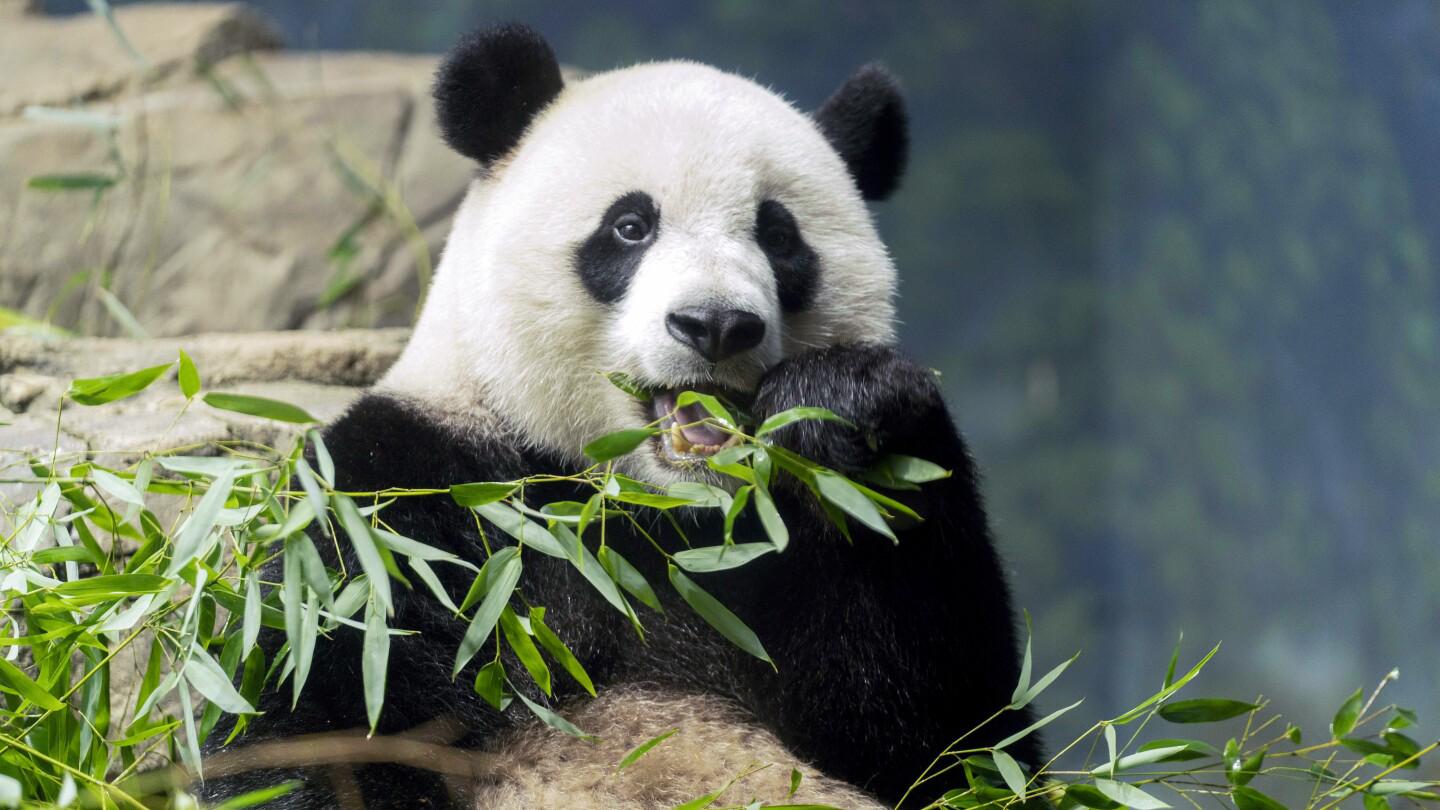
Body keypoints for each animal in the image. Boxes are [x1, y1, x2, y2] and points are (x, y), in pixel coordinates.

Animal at [200, 22, 1037, 809]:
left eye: (778, 234)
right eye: (630, 227)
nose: (716, 324)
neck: (644, 503)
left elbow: (950, 738)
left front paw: (842, 404)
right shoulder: (402, 497)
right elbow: (315, 708)